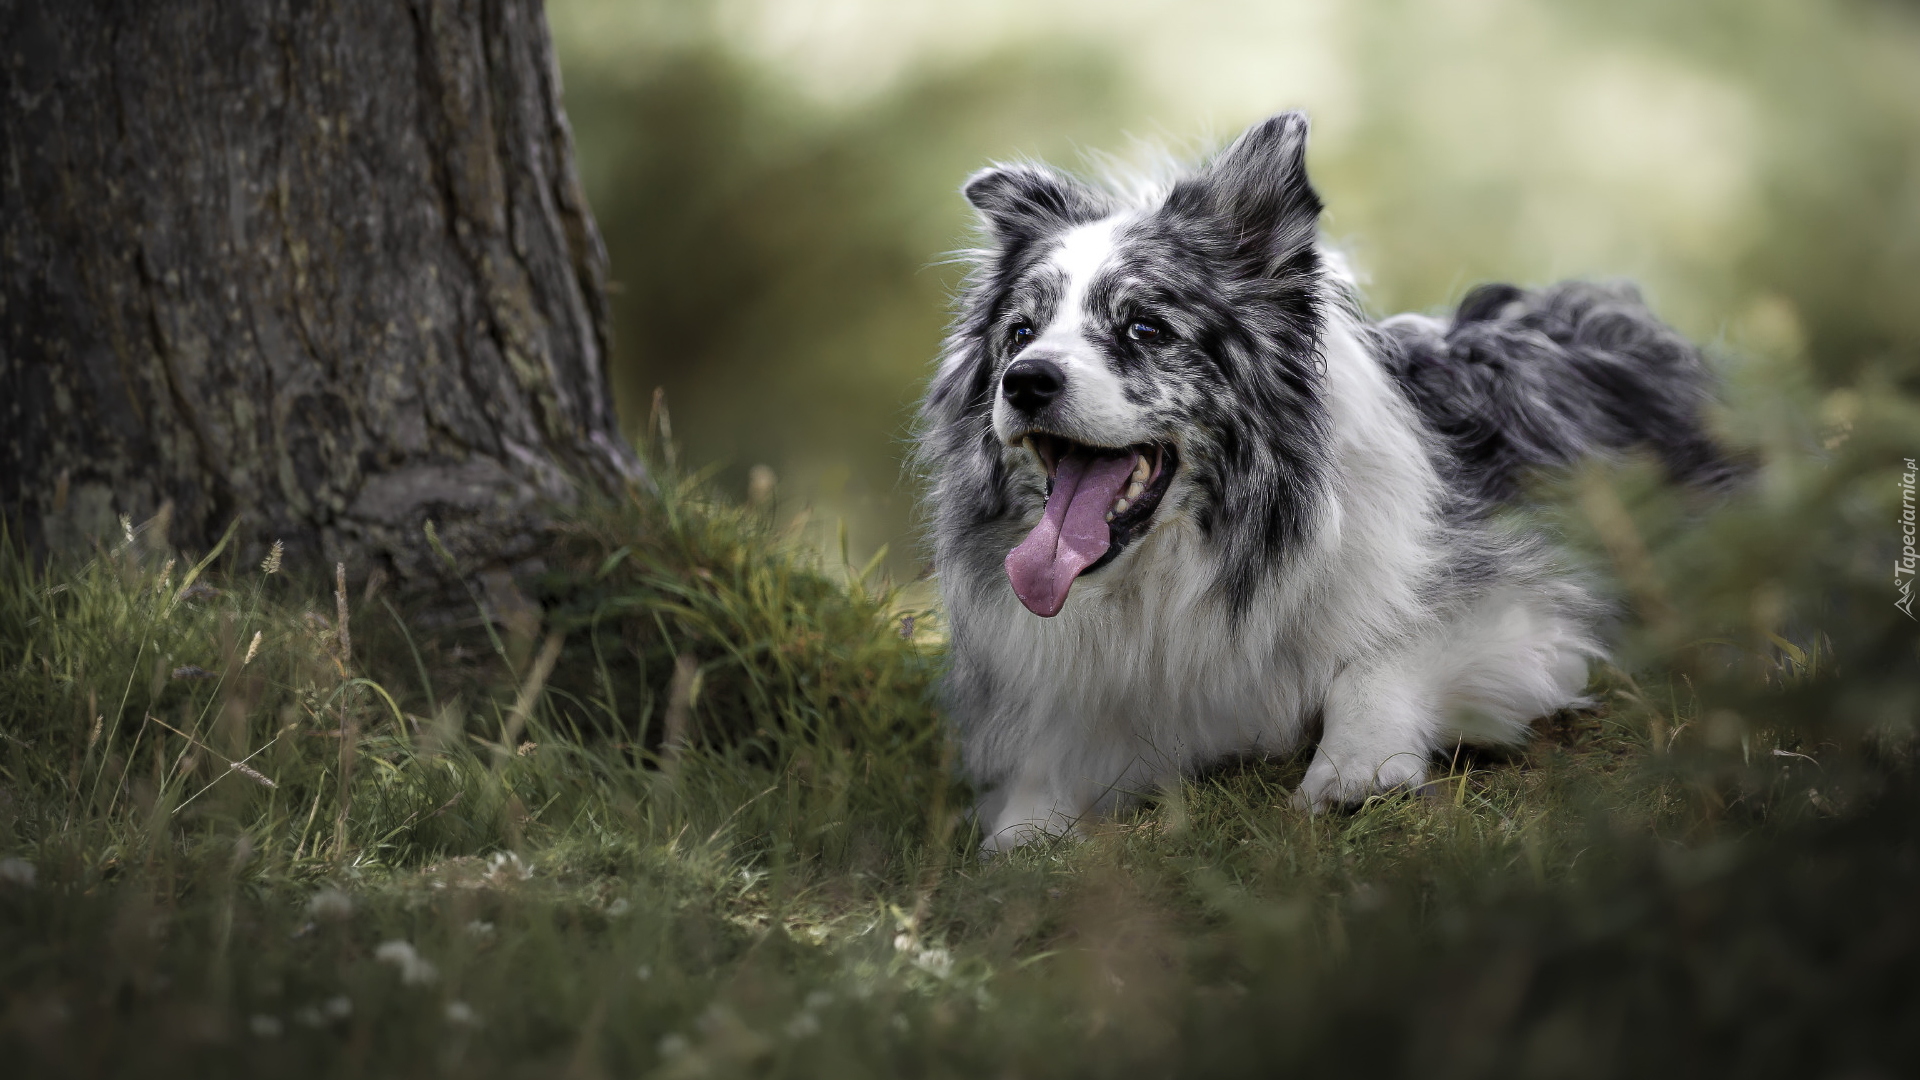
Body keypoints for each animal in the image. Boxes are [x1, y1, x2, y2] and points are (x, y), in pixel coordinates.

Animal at [913, 111, 1743, 849]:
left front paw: (1354, 768)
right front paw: (1025, 827)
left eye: (1145, 327)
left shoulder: (1535, 603)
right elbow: (1041, 780)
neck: (1201, 562)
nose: (1025, 382)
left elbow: (1379, 659)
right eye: (1020, 333)